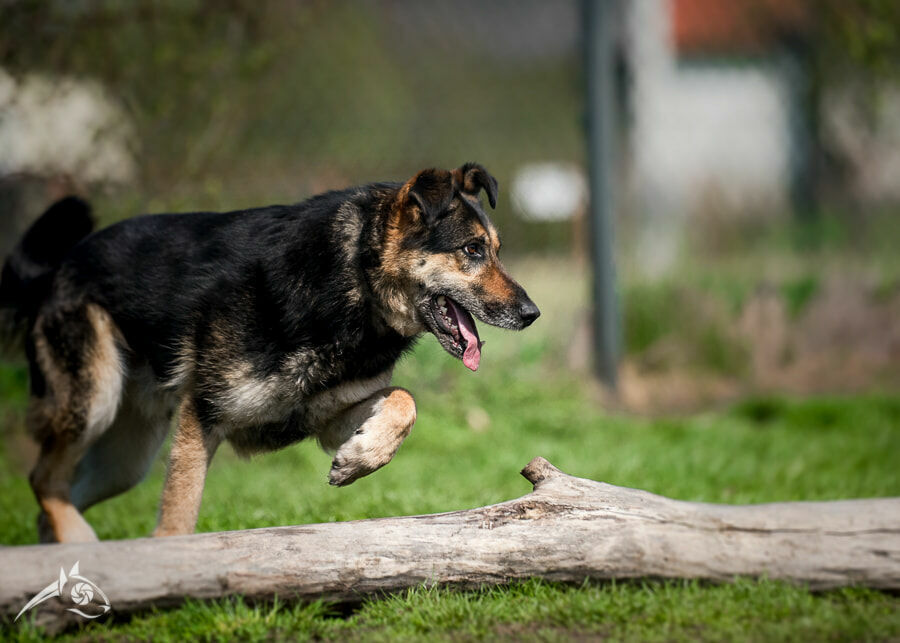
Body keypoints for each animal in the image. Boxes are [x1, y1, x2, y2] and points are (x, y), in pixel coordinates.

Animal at [0, 163, 539, 543]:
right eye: (471, 251)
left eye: (495, 250)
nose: (531, 314)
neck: (351, 280)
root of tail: (57, 269)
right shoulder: (204, 417)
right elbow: (179, 514)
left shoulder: (324, 417)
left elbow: (405, 401)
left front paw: (357, 459)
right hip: (94, 403)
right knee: (42, 478)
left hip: (126, 459)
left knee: (57, 494)